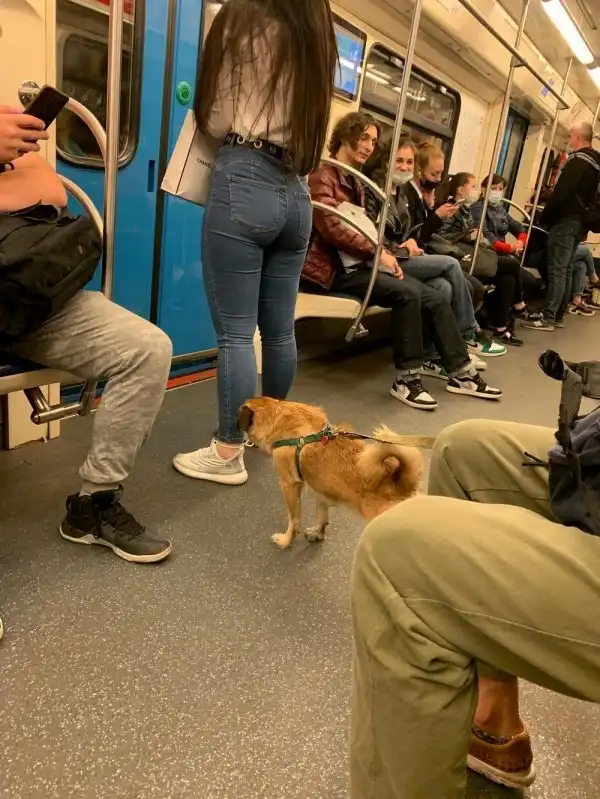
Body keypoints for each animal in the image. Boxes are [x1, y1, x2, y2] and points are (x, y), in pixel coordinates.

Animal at [238, 397, 435, 548]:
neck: (280, 416)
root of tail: (403, 488)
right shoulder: (320, 490)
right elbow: (322, 515)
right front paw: (318, 532)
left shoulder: (289, 486)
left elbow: (293, 520)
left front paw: (286, 541)